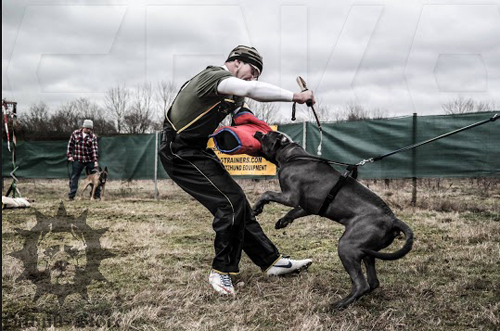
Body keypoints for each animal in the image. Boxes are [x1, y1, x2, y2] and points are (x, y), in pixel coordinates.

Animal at [254, 131, 414, 310]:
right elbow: (293, 212)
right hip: (366, 252)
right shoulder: (307, 207)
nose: (258, 132)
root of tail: (393, 219)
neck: (292, 156)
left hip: (346, 247)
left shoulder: (290, 196)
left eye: (267, 135)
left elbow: (267, 193)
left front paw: (257, 207)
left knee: (362, 284)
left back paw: (338, 304)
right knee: (373, 282)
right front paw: (283, 221)